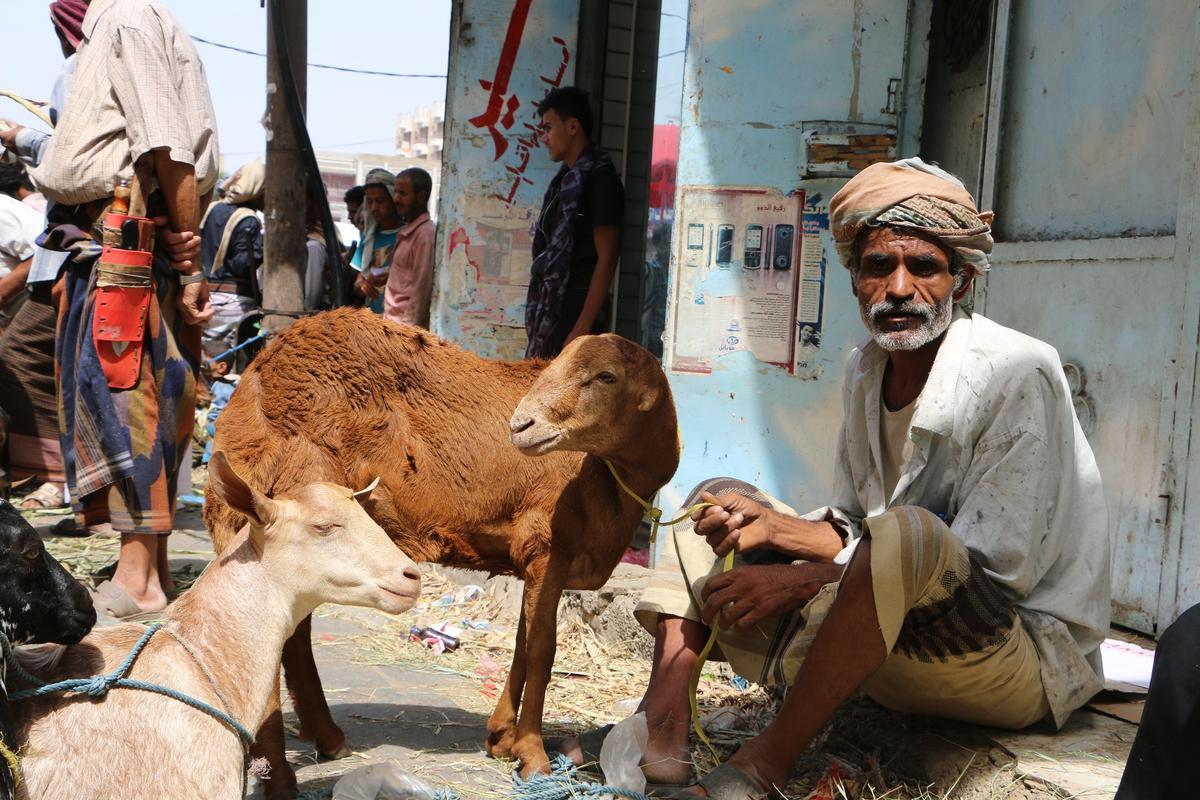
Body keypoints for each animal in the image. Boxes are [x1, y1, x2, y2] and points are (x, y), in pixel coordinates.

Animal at [201, 307, 681, 796]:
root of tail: (253, 389)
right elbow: (542, 650)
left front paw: (501, 737)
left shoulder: (535, 559)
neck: (604, 477)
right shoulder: (547, 544)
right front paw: (533, 755)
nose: (521, 425)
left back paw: (327, 738)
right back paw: (282, 775)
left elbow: (522, 644)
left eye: (606, 376)